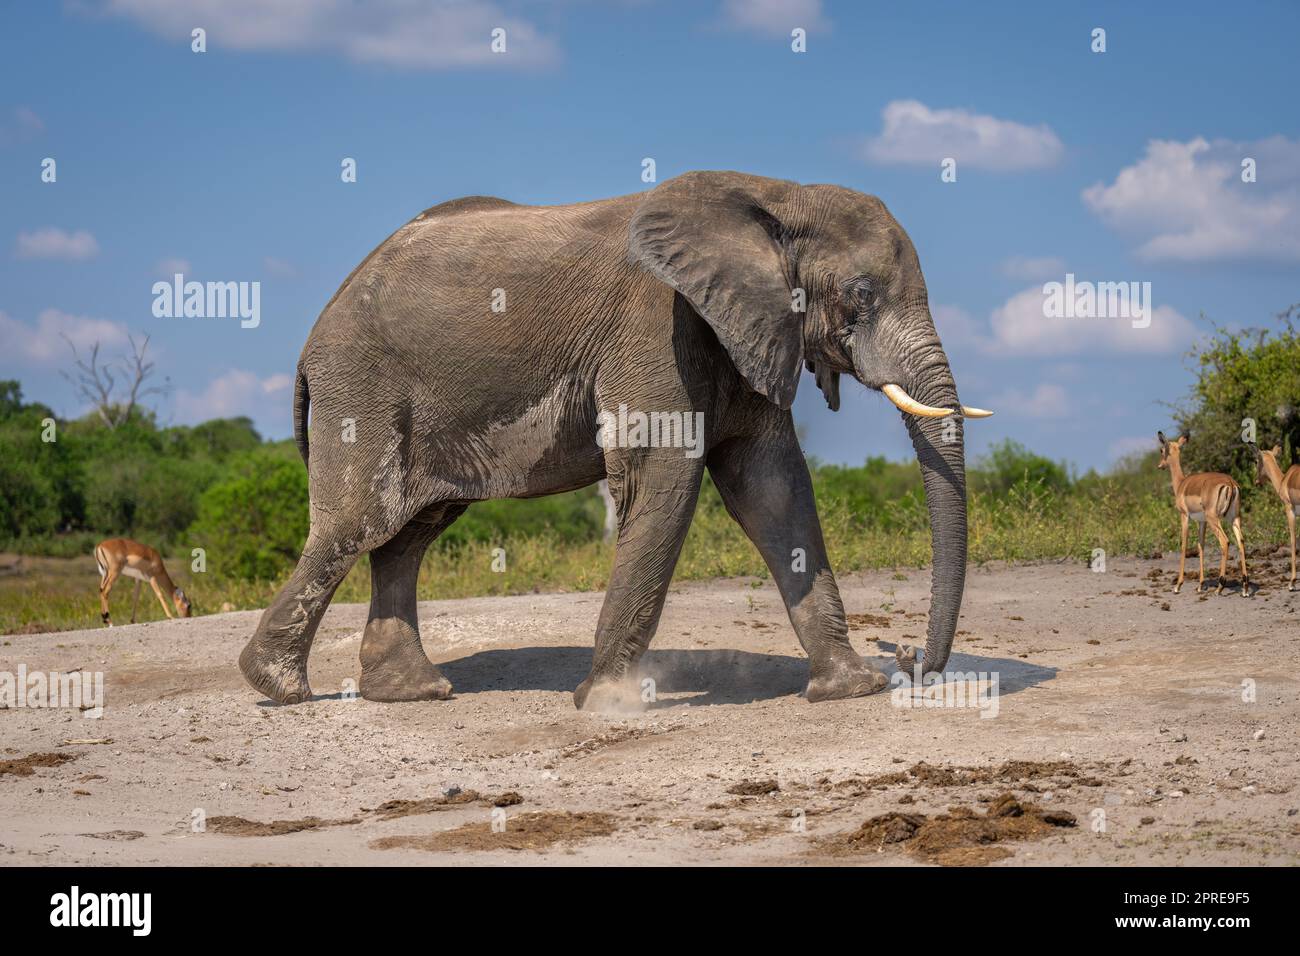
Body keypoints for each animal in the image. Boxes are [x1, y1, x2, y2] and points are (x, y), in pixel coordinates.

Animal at [238, 170, 990, 709]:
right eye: (861, 295)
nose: (911, 664)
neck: (776, 194)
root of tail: (317, 329)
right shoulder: (658, 326)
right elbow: (667, 478)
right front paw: (605, 703)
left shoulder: (744, 330)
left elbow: (774, 490)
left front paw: (848, 689)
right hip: (363, 387)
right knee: (358, 523)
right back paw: (278, 687)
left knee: (409, 534)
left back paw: (412, 693)